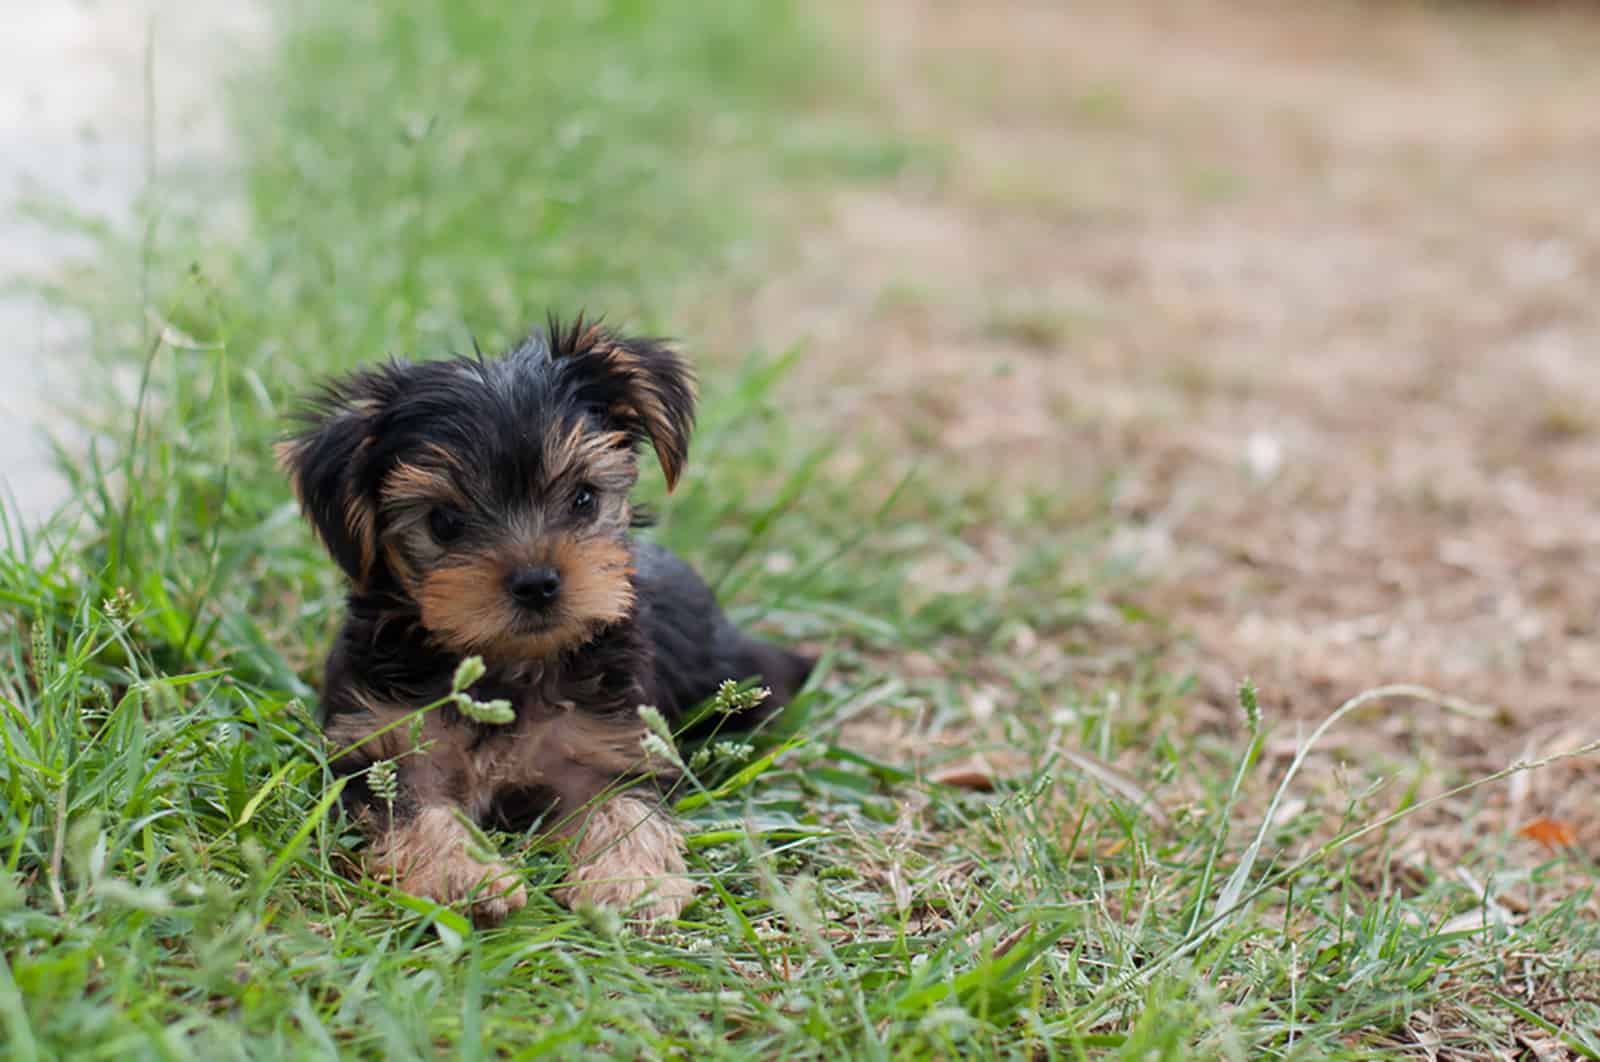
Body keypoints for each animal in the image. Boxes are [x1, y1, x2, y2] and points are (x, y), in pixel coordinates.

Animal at [276, 315, 819, 921]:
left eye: (583, 498)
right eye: (443, 522)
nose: (536, 582)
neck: (506, 666)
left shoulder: (606, 744)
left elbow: (624, 807)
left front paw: (630, 881)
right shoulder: (386, 747)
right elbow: (414, 808)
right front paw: (464, 877)